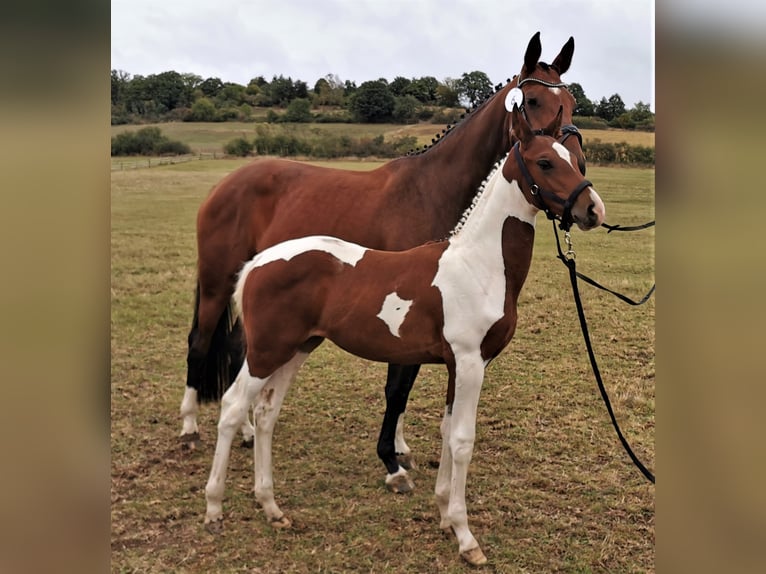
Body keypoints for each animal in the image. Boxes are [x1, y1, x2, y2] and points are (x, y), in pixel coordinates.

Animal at [184, 32, 588, 490]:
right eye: (533, 99)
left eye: (572, 101)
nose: (580, 167)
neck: (432, 190)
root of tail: (225, 184)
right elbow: (396, 387)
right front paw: (391, 462)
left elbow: (404, 385)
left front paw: (399, 448)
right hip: (217, 284)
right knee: (199, 342)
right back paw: (190, 429)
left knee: (239, 352)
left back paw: (248, 431)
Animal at [202, 106, 608, 568]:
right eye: (545, 162)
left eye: (576, 160)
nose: (593, 209)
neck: (478, 264)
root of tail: (255, 265)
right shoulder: (469, 362)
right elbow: (463, 440)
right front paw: (466, 538)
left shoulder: (458, 365)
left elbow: (447, 431)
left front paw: (445, 514)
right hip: (266, 352)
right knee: (233, 408)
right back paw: (214, 509)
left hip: (296, 349)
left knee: (267, 413)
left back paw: (271, 508)